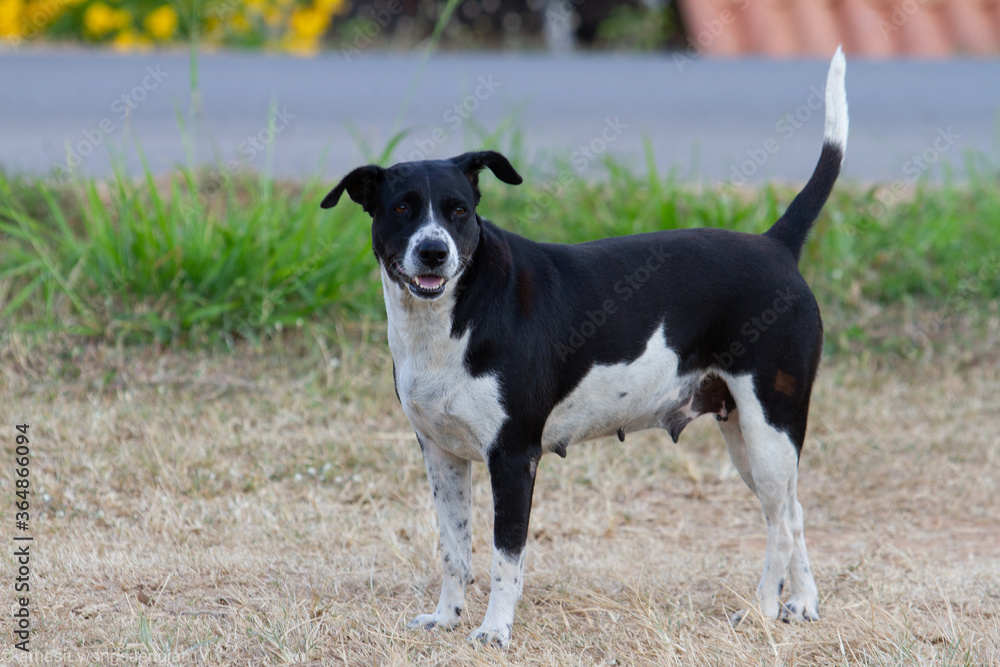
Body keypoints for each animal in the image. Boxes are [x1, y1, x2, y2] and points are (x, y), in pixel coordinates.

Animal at [324, 48, 848, 648]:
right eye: (403, 209)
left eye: (459, 210)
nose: (433, 251)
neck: (450, 319)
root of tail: (776, 244)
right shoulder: (441, 454)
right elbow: (454, 549)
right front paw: (446, 618)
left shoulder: (514, 458)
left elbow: (506, 558)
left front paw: (495, 631)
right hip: (746, 434)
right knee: (794, 510)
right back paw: (802, 602)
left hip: (769, 428)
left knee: (781, 525)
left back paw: (761, 610)